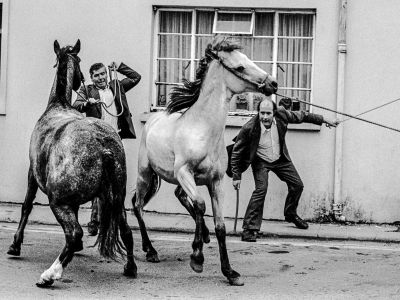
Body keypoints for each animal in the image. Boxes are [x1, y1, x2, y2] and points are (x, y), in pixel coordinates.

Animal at [6, 39, 137, 286]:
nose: (81, 79)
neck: (57, 105)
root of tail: (102, 144)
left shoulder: (32, 174)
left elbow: (26, 206)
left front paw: (15, 245)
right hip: (116, 198)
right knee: (125, 230)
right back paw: (130, 267)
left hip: (58, 201)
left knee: (74, 233)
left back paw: (51, 274)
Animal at [133, 37, 276, 286]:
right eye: (240, 67)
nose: (273, 84)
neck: (203, 130)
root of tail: (153, 118)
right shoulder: (184, 172)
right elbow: (200, 205)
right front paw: (197, 258)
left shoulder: (215, 181)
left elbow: (220, 226)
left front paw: (230, 272)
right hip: (146, 174)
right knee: (138, 205)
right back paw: (150, 250)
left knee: (179, 196)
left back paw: (202, 236)